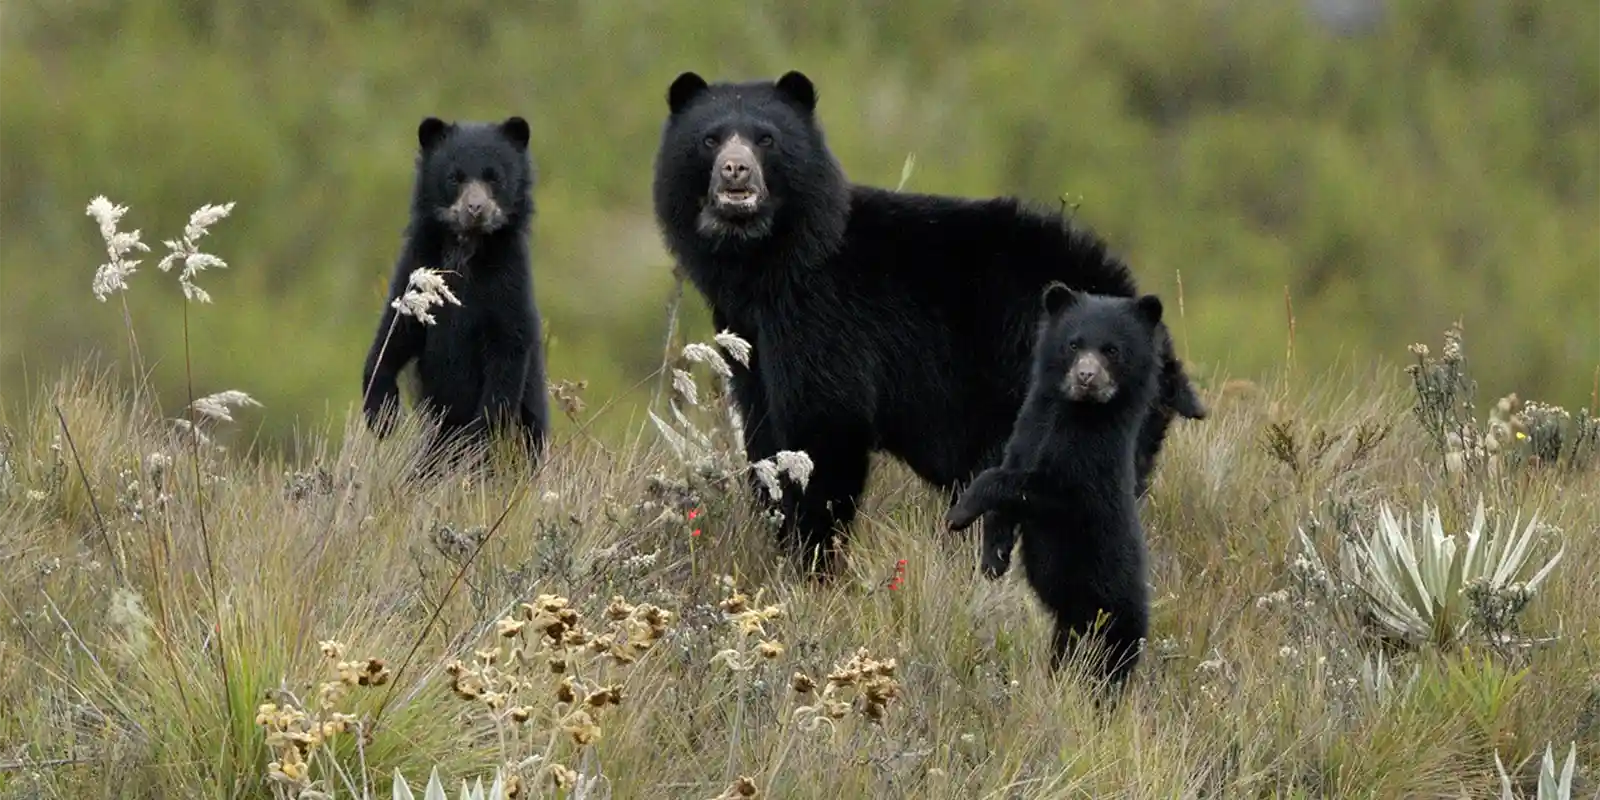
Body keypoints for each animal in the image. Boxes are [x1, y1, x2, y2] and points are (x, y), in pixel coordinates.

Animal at [361, 115, 550, 463]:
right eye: (454, 177)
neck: (466, 251)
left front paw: (481, 434)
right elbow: (395, 332)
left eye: (494, 177)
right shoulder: (418, 265)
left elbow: (509, 351)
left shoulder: (509, 284)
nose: (475, 208)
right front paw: (382, 416)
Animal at [650, 70, 1205, 576]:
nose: (736, 171)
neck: (770, 267)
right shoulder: (747, 333)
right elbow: (766, 437)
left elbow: (824, 428)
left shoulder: (826, 320)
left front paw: (812, 557)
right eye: (709, 138)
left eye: (766, 138)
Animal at [945, 284, 1162, 692]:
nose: (1086, 376)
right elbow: (1009, 479)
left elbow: (1035, 489)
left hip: (1110, 616)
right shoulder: (1025, 432)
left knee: (1108, 667)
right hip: (1069, 627)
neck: (1073, 412)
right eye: (1074, 344)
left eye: (1111, 350)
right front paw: (993, 560)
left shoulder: (1090, 468)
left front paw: (959, 513)